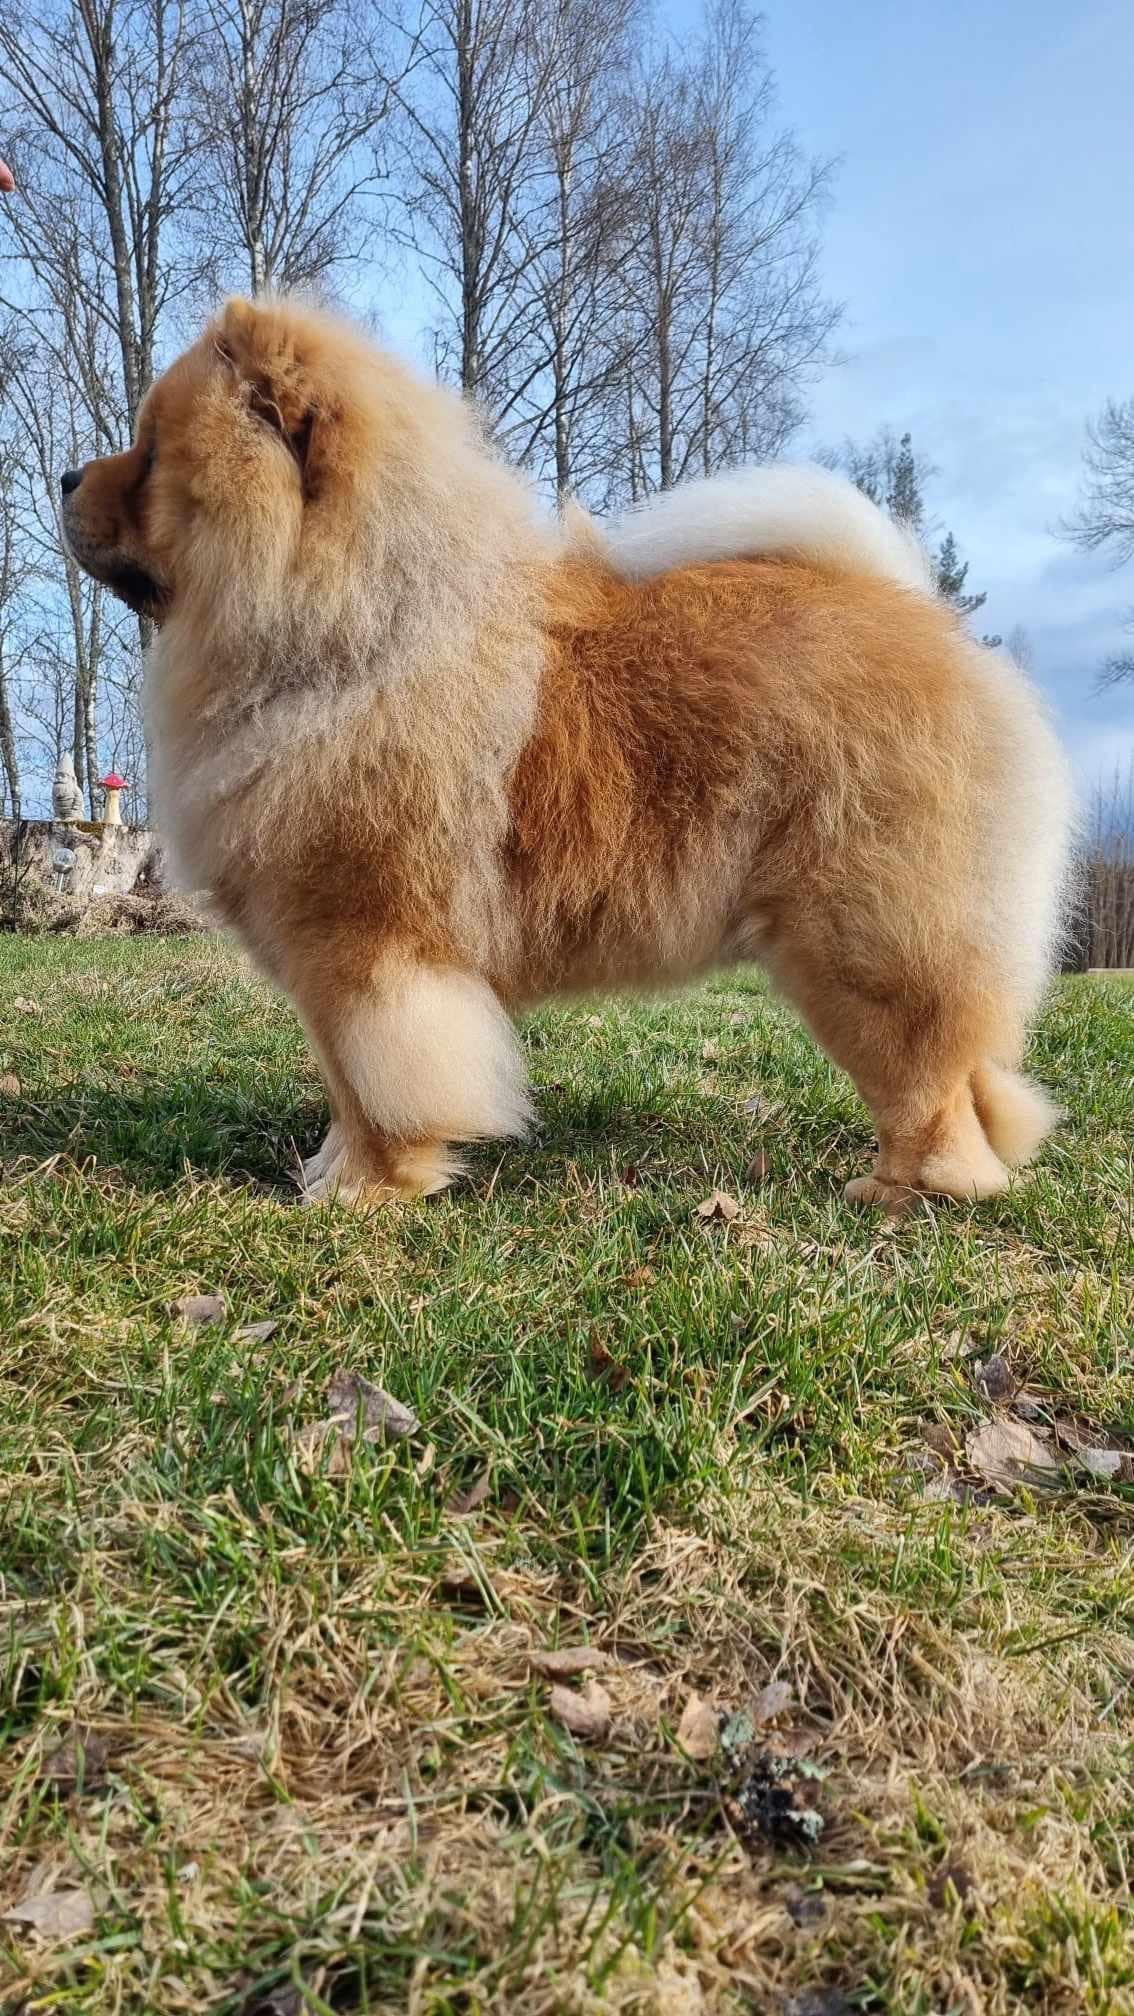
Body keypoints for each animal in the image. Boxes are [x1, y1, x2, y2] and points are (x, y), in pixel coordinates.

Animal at [61, 296, 1065, 1201]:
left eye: (150, 455)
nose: (68, 475)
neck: (345, 630)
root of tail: (923, 618)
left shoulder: (366, 950)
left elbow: (381, 1087)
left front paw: (366, 1190)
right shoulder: (321, 960)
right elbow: (344, 1084)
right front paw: (328, 1173)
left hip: (868, 943)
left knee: (926, 1082)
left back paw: (904, 1191)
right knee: (976, 1078)